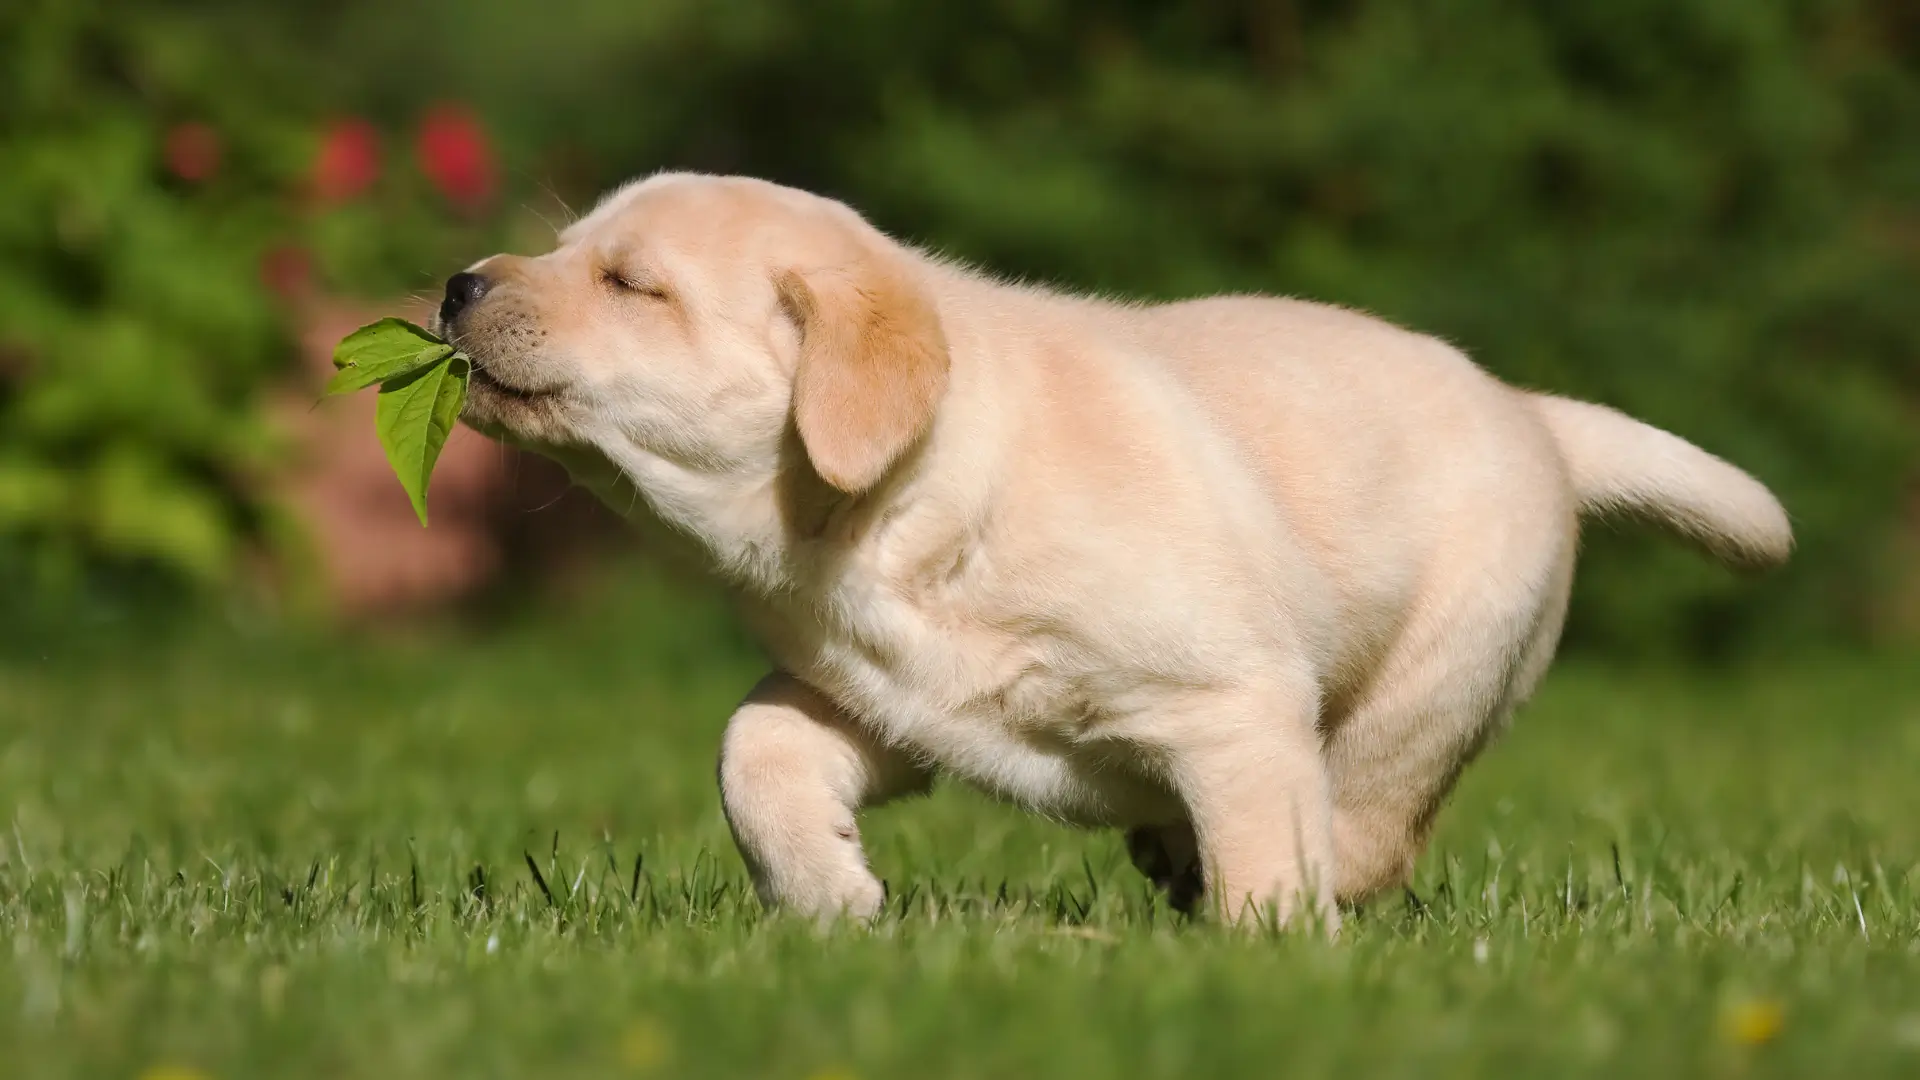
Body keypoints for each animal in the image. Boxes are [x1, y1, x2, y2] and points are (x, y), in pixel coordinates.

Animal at [441, 170, 1789, 926]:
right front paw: (828, 899)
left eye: (631, 284)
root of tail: (1533, 414)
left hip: (1446, 662)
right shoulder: (890, 698)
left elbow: (1266, 854)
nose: (457, 284)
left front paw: (1267, 968)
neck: (908, 509)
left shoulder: (1234, 700)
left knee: (1370, 811)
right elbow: (752, 748)